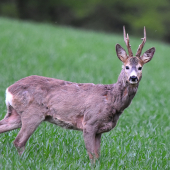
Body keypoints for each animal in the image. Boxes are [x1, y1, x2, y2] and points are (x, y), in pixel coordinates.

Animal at [0, 26, 155, 162]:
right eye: (126, 67)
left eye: (140, 67)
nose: (133, 78)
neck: (111, 100)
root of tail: (9, 89)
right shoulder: (89, 122)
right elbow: (92, 156)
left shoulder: (99, 130)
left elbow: (97, 156)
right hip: (32, 113)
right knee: (19, 141)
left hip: (15, 114)